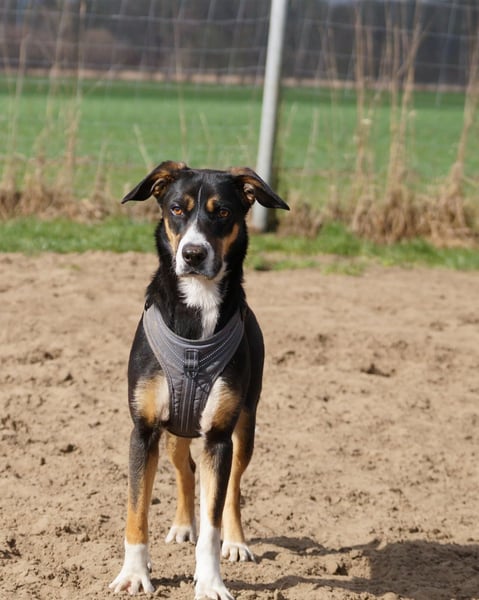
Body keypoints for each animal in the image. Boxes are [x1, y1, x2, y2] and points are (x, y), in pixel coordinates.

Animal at [109, 161, 289, 599]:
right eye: (177, 208)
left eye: (221, 211)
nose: (192, 253)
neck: (197, 303)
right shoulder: (143, 430)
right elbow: (136, 509)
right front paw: (134, 574)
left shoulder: (218, 436)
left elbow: (213, 521)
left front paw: (210, 582)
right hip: (175, 432)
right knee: (184, 469)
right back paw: (180, 526)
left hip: (245, 425)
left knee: (233, 488)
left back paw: (236, 542)